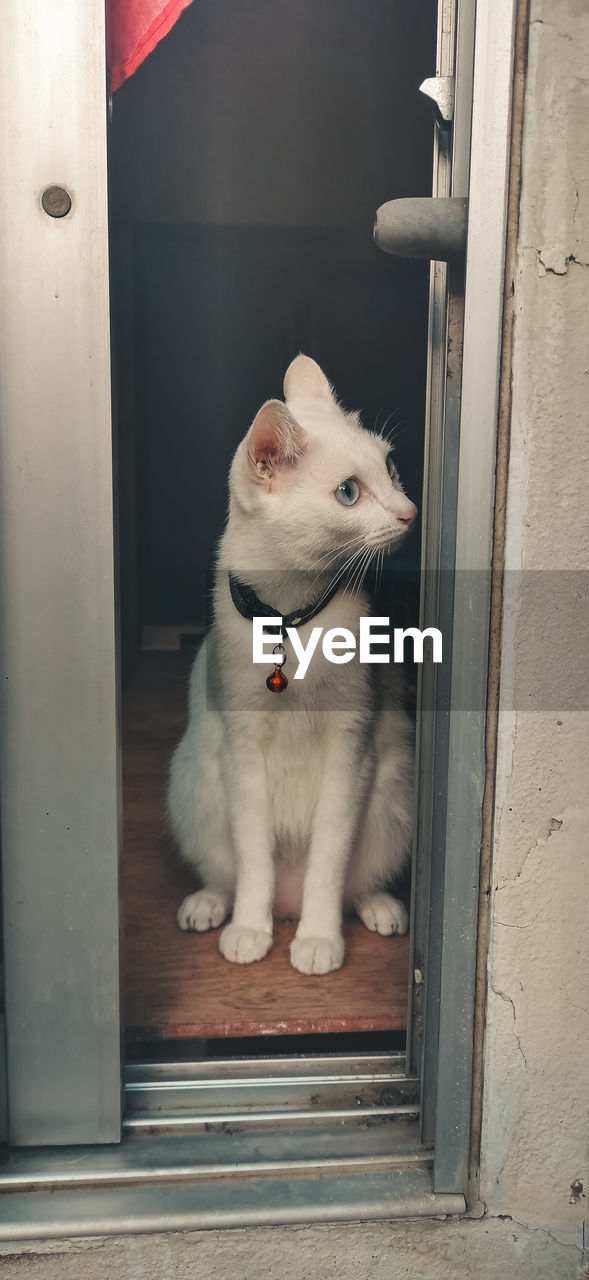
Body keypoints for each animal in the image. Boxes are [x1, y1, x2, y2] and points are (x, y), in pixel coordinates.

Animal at [166, 355, 419, 972]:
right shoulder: (242, 750)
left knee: (355, 881)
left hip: (394, 790)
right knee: (228, 872)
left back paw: (376, 908)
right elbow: (253, 857)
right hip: (193, 783)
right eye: (348, 492)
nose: (410, 512)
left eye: (390, 466)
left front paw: (319, 938)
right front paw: (249, 929)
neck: (292, 621)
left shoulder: (351, 749)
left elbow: (328, 864)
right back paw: (214, 905)